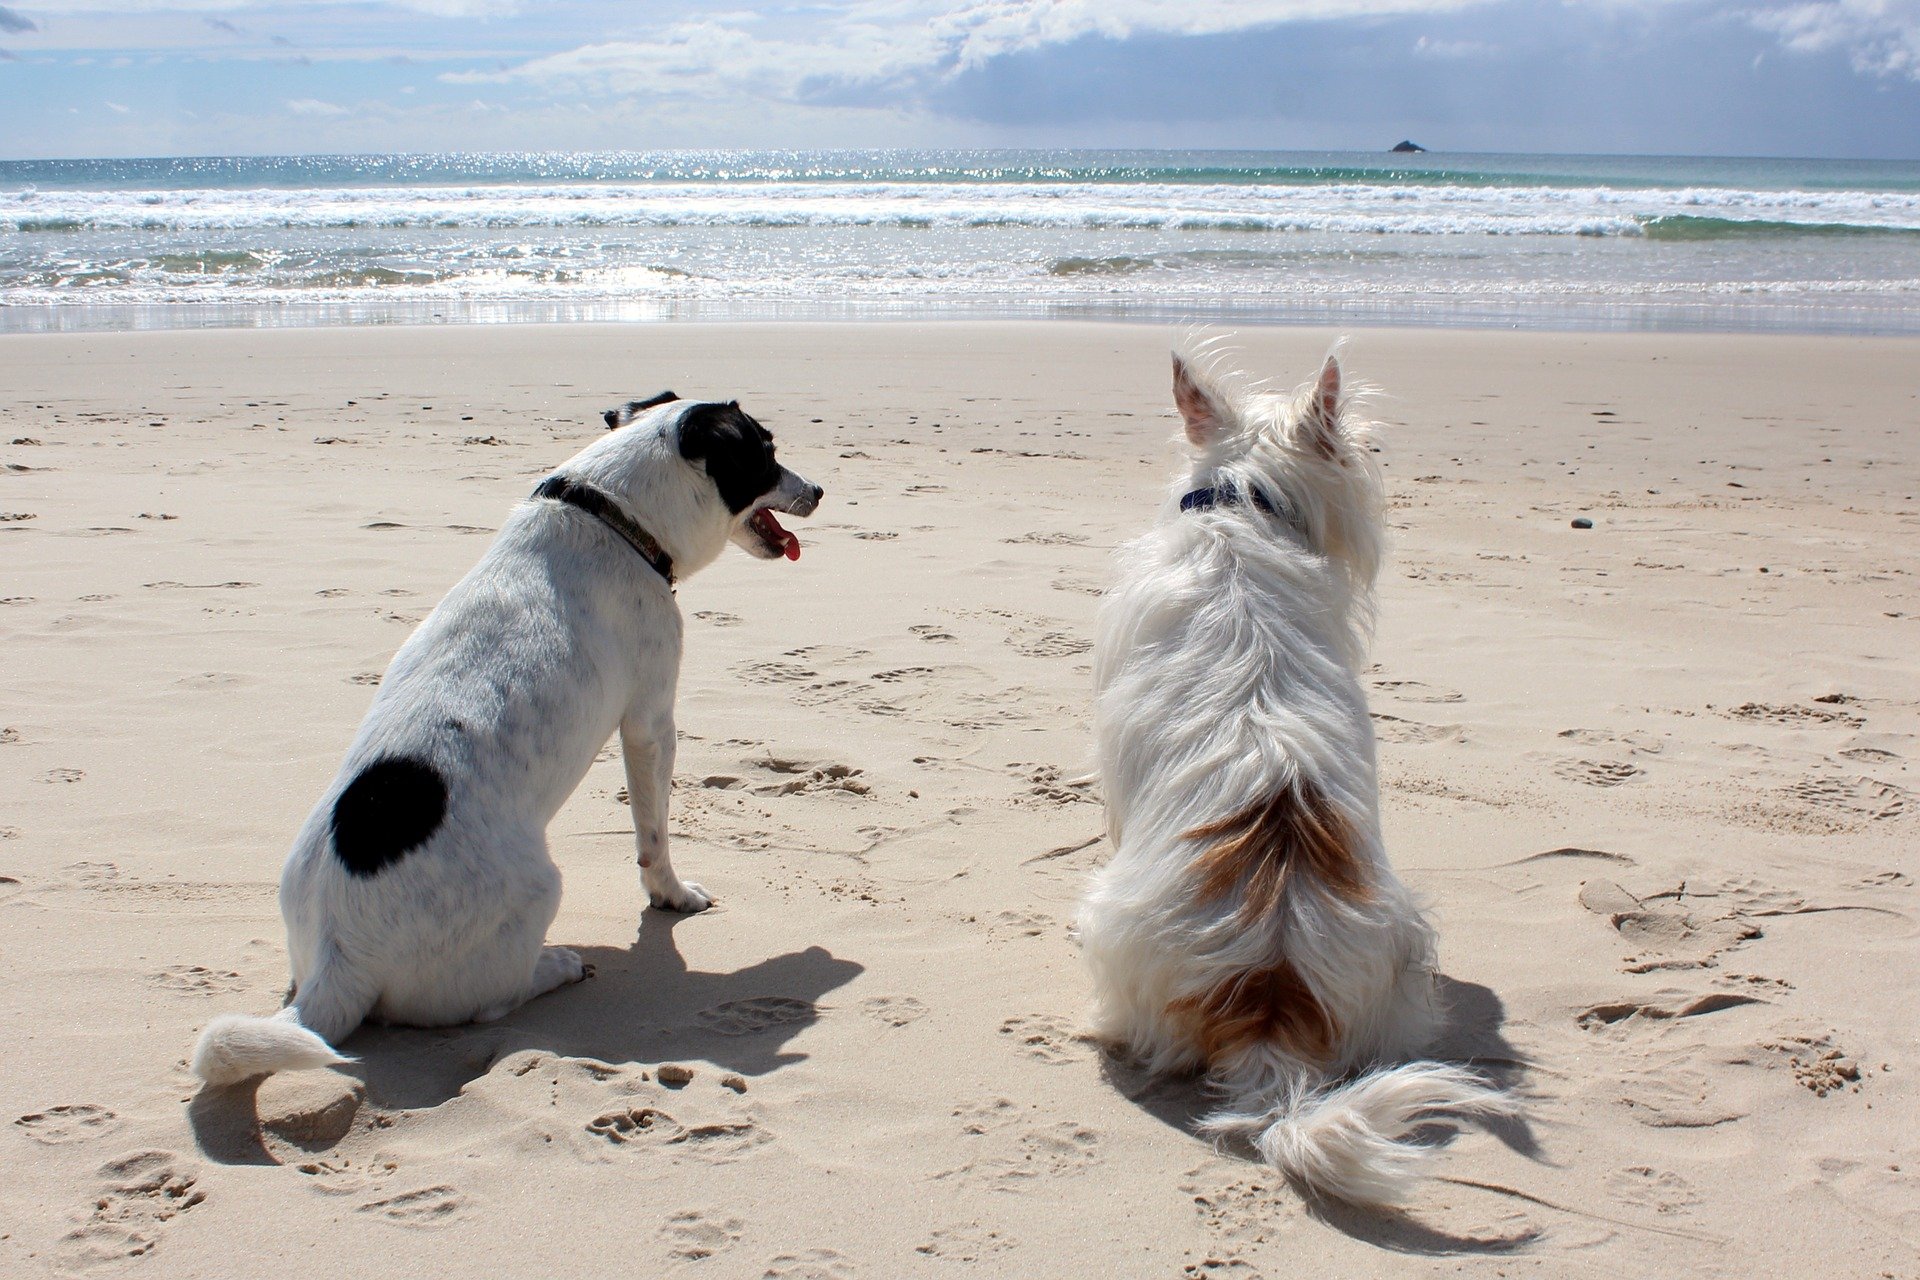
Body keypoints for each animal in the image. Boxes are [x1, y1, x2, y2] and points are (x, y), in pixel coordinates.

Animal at [192, 395, 817, 1090]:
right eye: (765, 451)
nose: (818, 491)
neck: (612, 514)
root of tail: (338, 959)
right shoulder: (651, 723)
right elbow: (654, 840)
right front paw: (673, 897)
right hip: (539, 889)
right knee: (490, 1001)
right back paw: (556, 966)